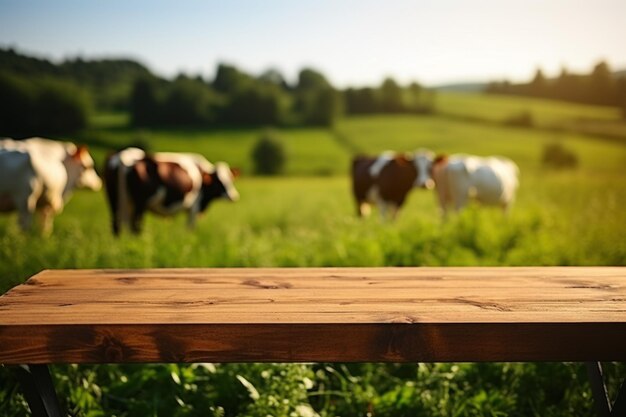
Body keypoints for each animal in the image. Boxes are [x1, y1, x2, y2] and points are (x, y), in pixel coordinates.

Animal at [103, 148, 238, 234]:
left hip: (114, 198)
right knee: (135, 227)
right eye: (220, 181)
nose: (234, 196)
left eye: (230, 179)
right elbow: (190, 229)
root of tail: (124, 155)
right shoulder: (193, 207)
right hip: (140, 203)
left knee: (116, 226)